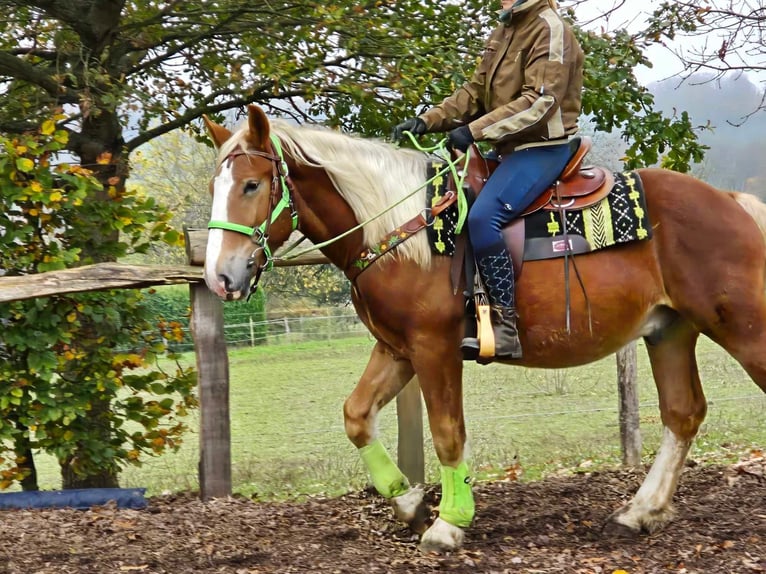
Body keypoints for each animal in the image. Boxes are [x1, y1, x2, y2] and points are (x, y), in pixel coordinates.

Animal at [202, 106, 766, 556]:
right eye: (216, 188)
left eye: (252, 185)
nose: (220, 277)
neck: (405, 228)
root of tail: (733, 203)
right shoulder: (396, 349)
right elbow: (356, 416)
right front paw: (408, 501)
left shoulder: (434, 349)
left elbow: (448, 433)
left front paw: (449, 523)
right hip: (670, 332)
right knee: (683, 415)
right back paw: (640, 511)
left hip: (743, 330)